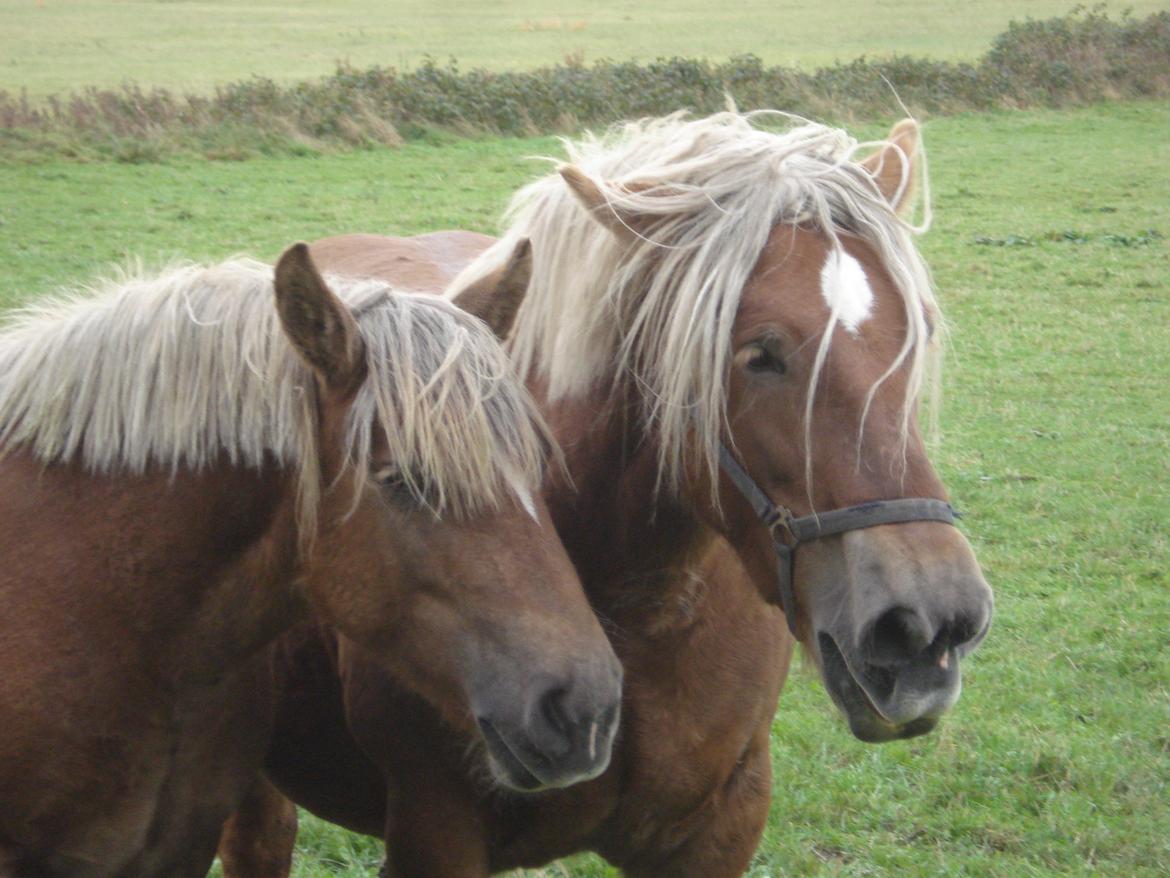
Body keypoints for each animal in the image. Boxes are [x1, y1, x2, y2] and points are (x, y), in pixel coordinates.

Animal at [223, 113, 992, 875]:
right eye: (758, 354)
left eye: (917, 330)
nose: (928, 626)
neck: (643, 613)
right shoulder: (433, 833)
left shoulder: (722, 829)